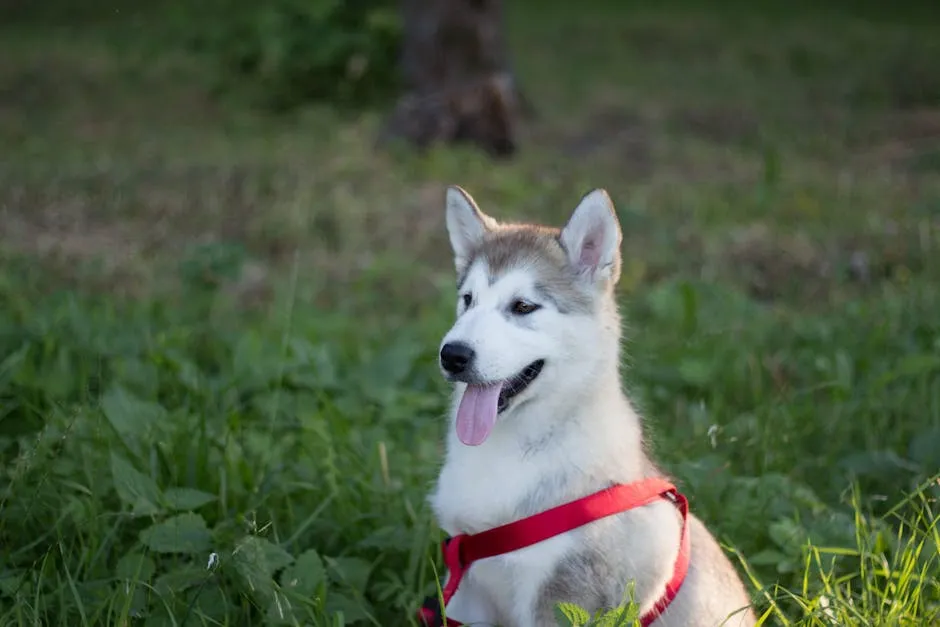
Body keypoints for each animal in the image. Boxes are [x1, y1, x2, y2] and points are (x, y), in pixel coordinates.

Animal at [426, 188, 756, 627]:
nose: (453, 355)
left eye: (523, 306)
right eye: (468, 300)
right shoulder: (466, 585)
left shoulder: (564, 594)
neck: (514, 450)